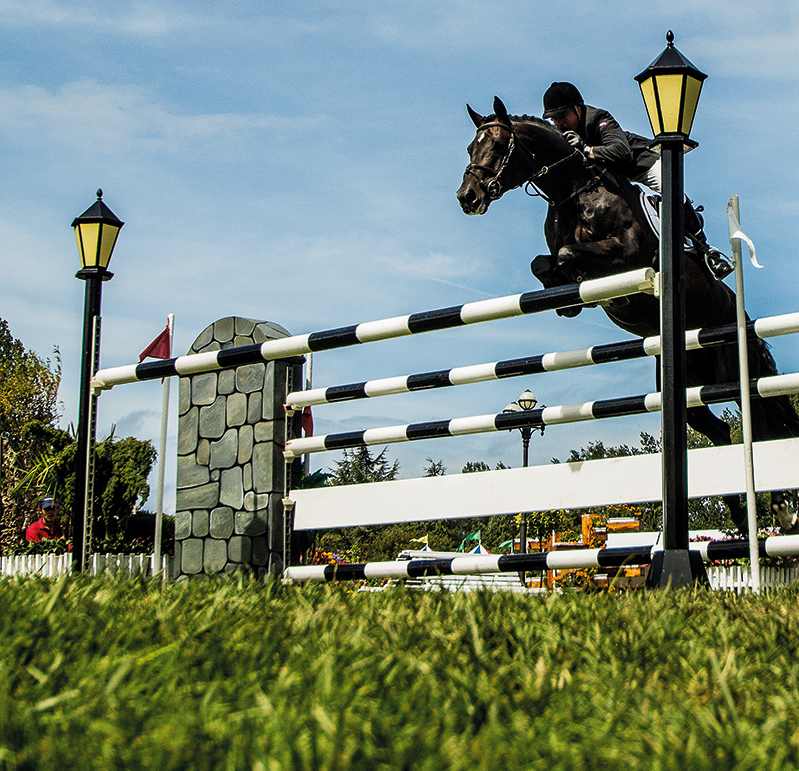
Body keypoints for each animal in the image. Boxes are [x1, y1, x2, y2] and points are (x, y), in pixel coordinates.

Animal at [456, 96, 799, 532]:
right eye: (471, 148)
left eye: (499, 147)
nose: (467, 197)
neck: (573, 193)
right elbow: (544, 263)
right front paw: (569, 302)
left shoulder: (627, 254)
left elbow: (568, 255)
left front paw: (579, 284)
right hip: (690, 391)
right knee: (720, 431)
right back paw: (744, 518)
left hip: (733, 371)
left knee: (766, 425)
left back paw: (782, 509)